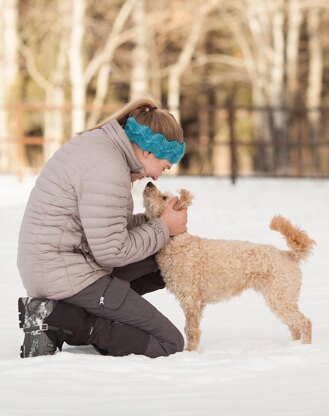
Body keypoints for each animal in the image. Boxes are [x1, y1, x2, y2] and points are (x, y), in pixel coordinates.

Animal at [142, 182, 314, 352]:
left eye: (164, 197)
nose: (149, 183)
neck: (176, 241)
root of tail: (288, 254)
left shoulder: (190, 299)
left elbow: (191, 330)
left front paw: (190, 352)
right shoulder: (198, 303)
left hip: (280, 296)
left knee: (305, 322)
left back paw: (304, 346)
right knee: (294, 326)